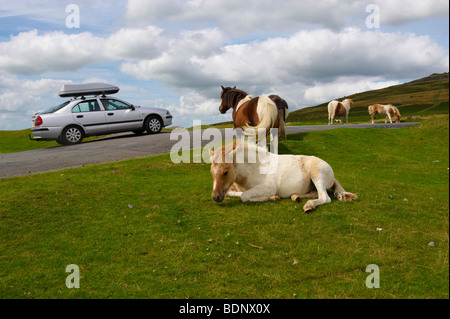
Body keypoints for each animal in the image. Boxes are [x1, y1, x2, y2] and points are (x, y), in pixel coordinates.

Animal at [209, 142, 356, 212]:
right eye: (211, 172)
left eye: (225, 171)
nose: (215, 197)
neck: (254, 167)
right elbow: (233, 193)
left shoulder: (268, 187)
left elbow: (244, 196)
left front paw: (273, 197)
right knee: (315, 193)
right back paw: (296, 197)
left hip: (317, 174)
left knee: (324, 197)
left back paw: (308, 205)